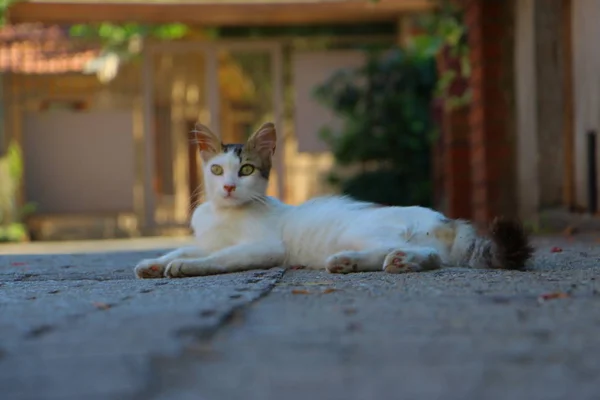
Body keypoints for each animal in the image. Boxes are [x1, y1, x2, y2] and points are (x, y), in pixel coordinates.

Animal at [134, 123, 532, 280]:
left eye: (246, 169)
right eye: (217, 169)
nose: (229, 187)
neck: (224, 214)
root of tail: (443, 219)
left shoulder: (264, 247)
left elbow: (217, 258)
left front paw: (185, 267)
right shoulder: (207, 240)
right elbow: (183, 248)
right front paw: (154, 263)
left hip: (360, 230)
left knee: (421, 253)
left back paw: (379, 260)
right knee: (432, 258)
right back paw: (369, 262)